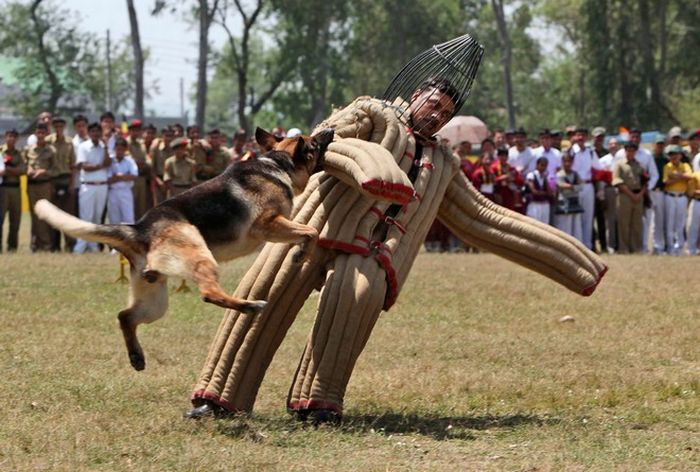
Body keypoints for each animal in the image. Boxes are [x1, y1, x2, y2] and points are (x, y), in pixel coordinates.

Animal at [34, 127, 334, 370]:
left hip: (155, 302)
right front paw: (300, 254)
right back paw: (250, 306)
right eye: (314, 143)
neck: (279, 163)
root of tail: (140, 228)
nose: (330, 130)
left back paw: (136, 356)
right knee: (208, 293)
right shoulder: (268, 224)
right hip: (200, 258)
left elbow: (308, 232)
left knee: (125, 316)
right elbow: (311, 231)